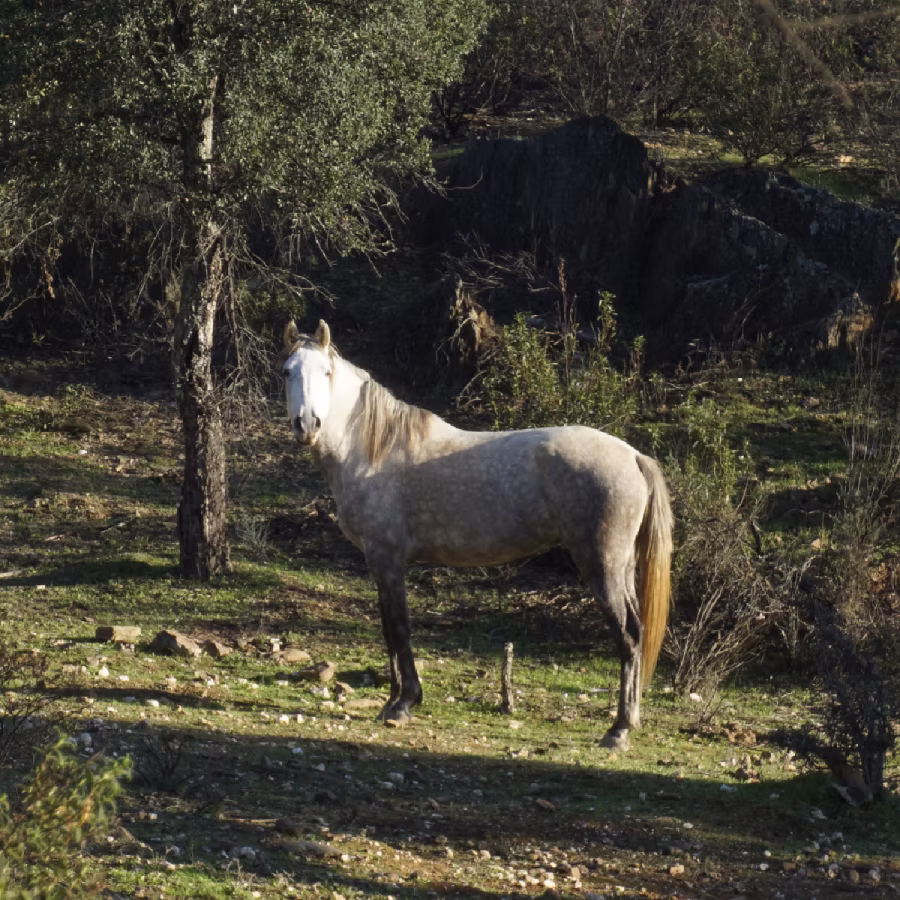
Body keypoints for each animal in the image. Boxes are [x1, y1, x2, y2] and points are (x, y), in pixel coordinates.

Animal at [281, 320, 673, 751]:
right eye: (287, 372)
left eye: (326, 373)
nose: (306, 425)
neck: (374, 452)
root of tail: (633, 456)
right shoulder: (380, 563)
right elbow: (388, 628)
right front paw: (394, 700)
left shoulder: (387, 558)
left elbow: (398, 627)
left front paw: (403, 703)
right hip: (623, 566)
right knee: (637, 632)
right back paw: (629, 720)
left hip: (602, 565)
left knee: (629, 636)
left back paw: (618, 730)